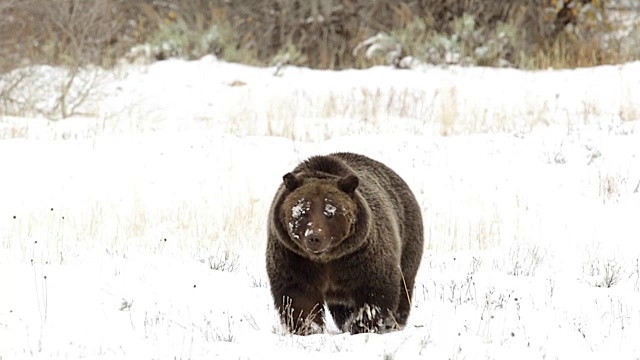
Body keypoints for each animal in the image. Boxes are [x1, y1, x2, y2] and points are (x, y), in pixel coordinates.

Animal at [266, 152, 424, 334]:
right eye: (302, 211)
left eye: (330, 212)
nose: (314, 237)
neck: (327, 259)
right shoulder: (294, 258)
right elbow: (298, 296)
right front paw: (309, 328)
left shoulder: (359, 256)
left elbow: (375, 291)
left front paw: (362, 325)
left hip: (407, 237)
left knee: (405, 283)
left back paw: (395, 322)